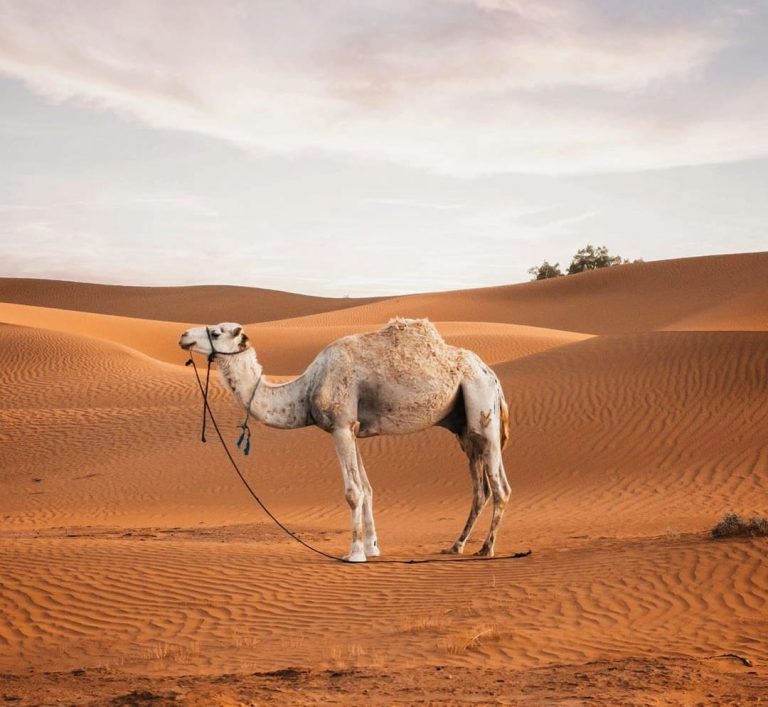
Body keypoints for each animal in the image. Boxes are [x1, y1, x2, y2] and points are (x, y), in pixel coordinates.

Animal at [179, 318, 511, 562]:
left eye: (216, 332)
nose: (183, 336)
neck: (306, 388)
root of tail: (491, 374)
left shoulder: (340, 425)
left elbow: (353, 492)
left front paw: (354, 554)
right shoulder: (353, 428)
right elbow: (368, 488)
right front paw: (373, 547)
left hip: (482, 406)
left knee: (500, 486)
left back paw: (487, 548)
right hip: (464, 428)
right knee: (480, 488)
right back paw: (456, 545)